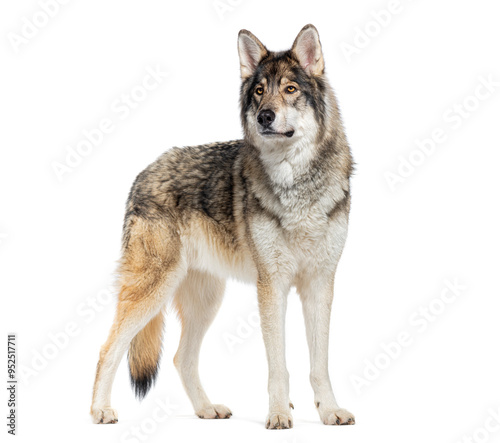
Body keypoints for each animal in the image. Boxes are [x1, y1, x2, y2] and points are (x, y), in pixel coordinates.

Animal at [91, 24, 356, 430]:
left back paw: (207, 409)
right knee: (108, 348)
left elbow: (319, 365)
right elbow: (278, 366)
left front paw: (329, 412)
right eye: (259, 90)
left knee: (180, 358)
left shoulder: (319, 284)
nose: (264, 116)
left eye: (290, 89)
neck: (297, 187)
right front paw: (279, 415)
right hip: (153, 290)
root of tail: (143, 173)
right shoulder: (272, 285)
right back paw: (101, 412)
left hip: (206, 300)